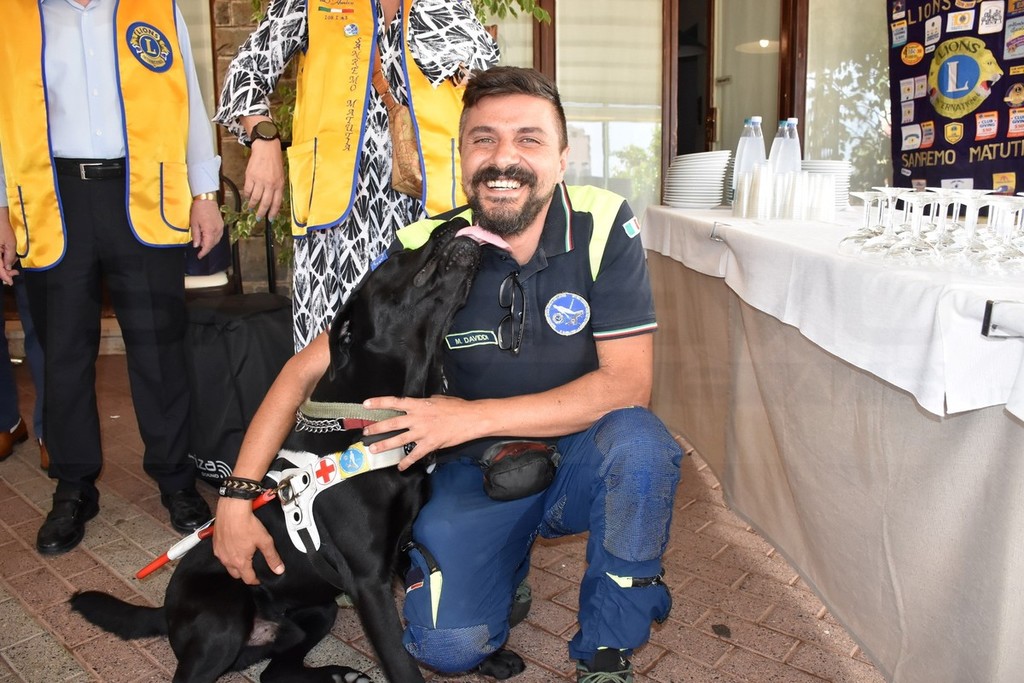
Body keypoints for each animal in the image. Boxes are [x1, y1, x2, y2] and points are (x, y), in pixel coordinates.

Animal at [69, 223, 514, 682]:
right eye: (392, 257)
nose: (451, 222)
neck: (368, 423)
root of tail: (165, 608)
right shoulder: (369, 581)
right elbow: (399, 658)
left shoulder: (403, 547)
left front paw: (489, 656)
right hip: (224, 622)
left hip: (318, 612)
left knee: (276, 670)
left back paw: (339, 674)